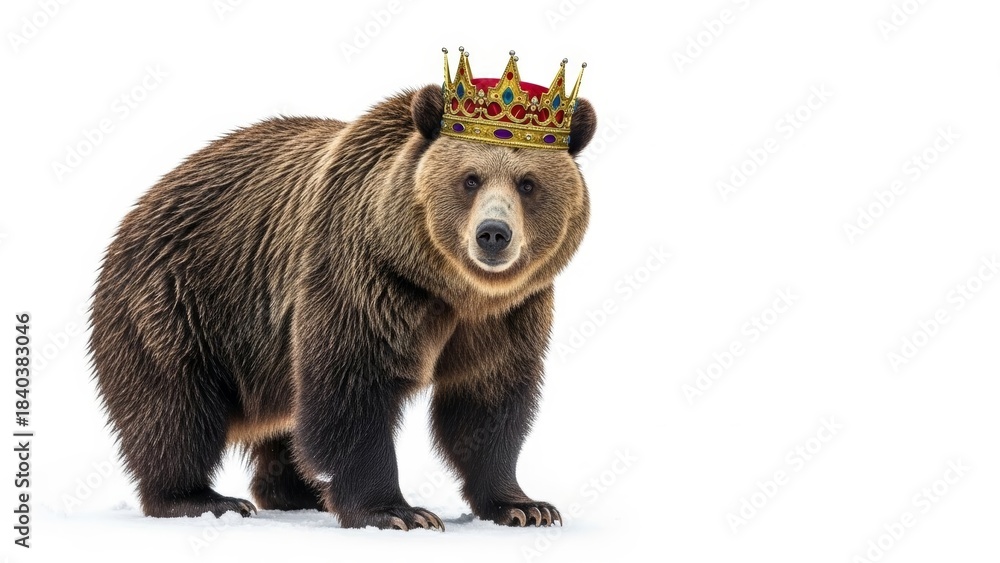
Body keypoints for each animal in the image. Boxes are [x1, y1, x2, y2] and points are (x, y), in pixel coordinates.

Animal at [88, 67, 596, 530]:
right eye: (469, 179)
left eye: (528, 183)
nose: (493, 234)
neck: (450, 287)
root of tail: (140, 205)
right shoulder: (365, 278)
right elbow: (352, 387)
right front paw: (396, 511)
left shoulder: (508, 314)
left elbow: (487, 402)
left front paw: (525, 506)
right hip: (181, 300)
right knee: (176, 409)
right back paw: (201, 498)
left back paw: (299, 491)